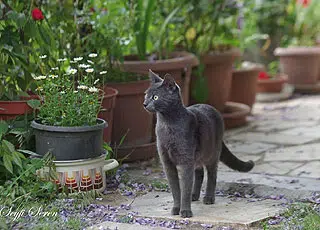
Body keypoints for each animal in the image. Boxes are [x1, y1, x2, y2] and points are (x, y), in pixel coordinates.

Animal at [144, 69, 254, 217]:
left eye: (155, 97)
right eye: (146, 95)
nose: (144, 103)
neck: (166, 124)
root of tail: (213, 108)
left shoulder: (186, 161)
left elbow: (184, 187)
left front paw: (185, 211)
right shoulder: (167, 163)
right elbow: (175, 189)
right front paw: (176, 209)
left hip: (212, 154)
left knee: (212, 175)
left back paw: (208, 198)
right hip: (197, 156)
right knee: (200, 173)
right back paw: (194, 195)